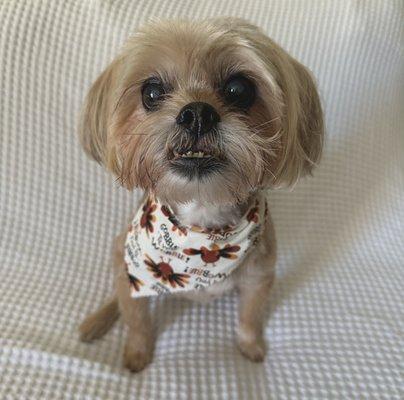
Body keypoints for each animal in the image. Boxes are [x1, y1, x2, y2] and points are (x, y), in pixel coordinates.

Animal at [78, 16, 326, 372]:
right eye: (151, 92)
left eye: (239, 89)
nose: (196, 113)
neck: (202, 225)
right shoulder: (132, 268)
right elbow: (136, 318)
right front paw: (137, 353)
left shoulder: (260, 276)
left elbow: (250, 316)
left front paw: (251, 345)